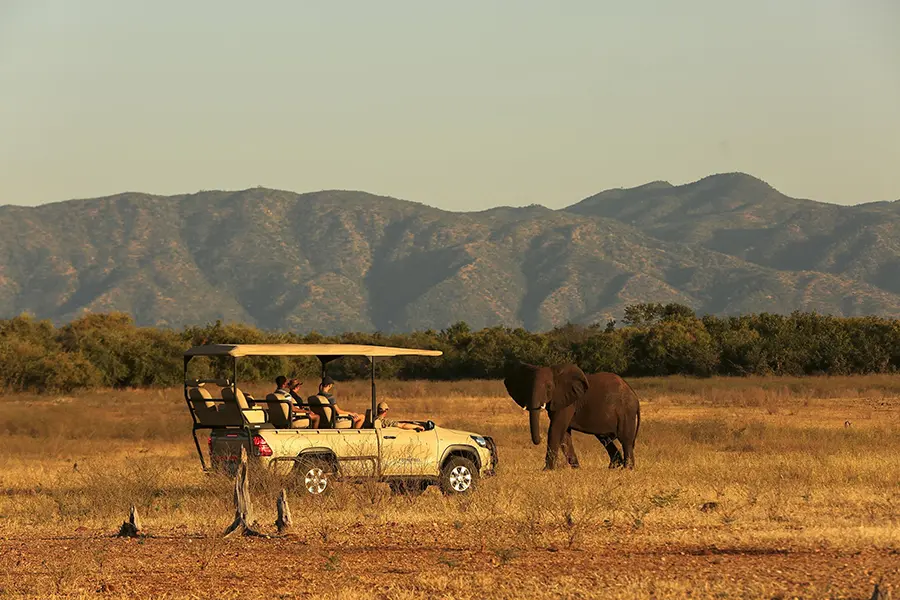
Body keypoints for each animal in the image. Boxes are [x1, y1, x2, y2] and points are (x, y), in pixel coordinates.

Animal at [503, 362, 641, 470]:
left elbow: (556, 429)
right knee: (605, 439)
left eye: (549, 388)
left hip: (626, 412)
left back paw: (627, 468)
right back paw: (614, 467)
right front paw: (576, 469)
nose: (539, 439)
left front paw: (547, 470)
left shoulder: (567, 402)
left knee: (625, 440)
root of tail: (635, 396)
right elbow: (564, 434)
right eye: (527, 387)